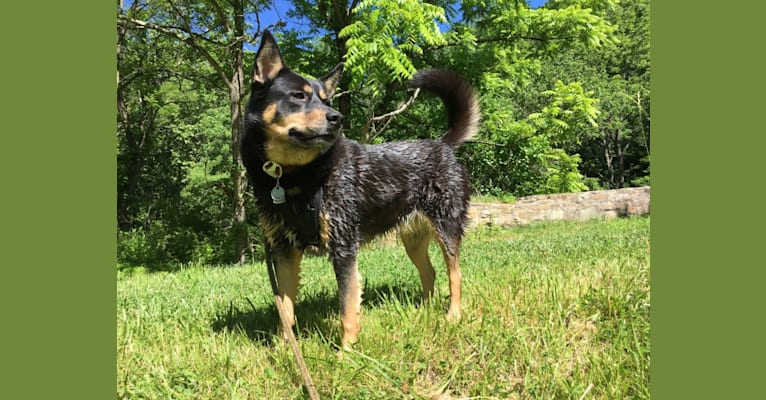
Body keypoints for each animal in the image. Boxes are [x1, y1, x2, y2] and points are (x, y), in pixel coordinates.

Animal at [240, 31, 480, 348]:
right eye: (299, 96)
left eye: (326, 100)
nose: (336, 118)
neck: (294, 177)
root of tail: (442, 144)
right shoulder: (284, 250)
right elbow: (286, 309)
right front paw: (284, 348)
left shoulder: (343, 247)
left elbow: (347, 307)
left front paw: (346, 351)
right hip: (413, 238)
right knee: (429, 272)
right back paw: (424, 311)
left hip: (446, 227)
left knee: (456, 274)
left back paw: (453, 315)